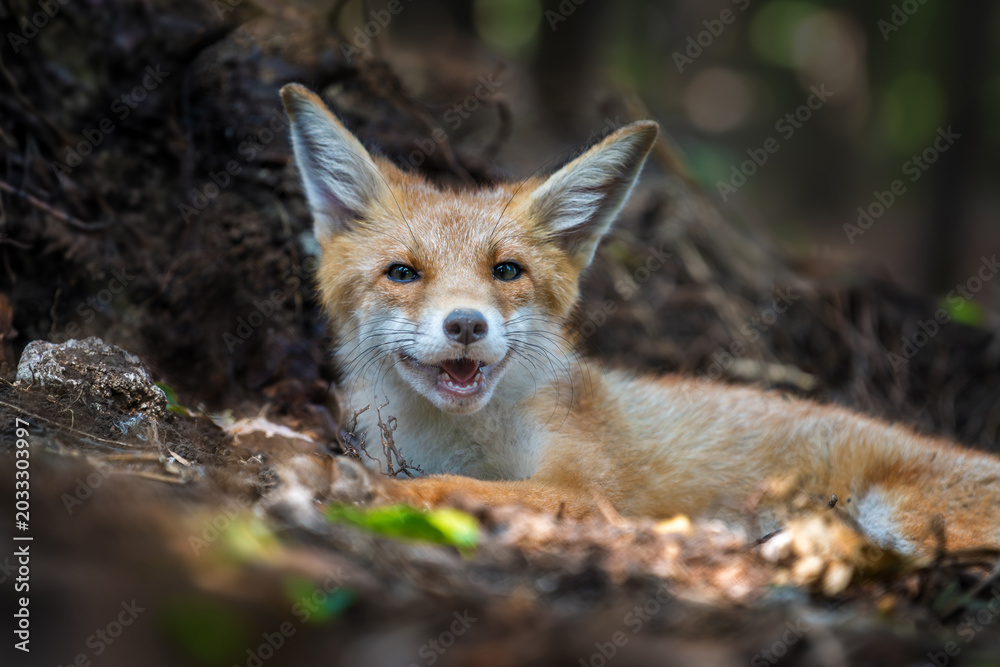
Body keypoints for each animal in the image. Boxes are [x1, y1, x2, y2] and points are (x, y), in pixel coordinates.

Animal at [279, 83, 1000, 557]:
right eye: (403, 273)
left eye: (506, 271)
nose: (465, 325)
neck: (455, 435)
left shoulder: (587, 488)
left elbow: (448, 488)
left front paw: (354, 486)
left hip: (906, 520)